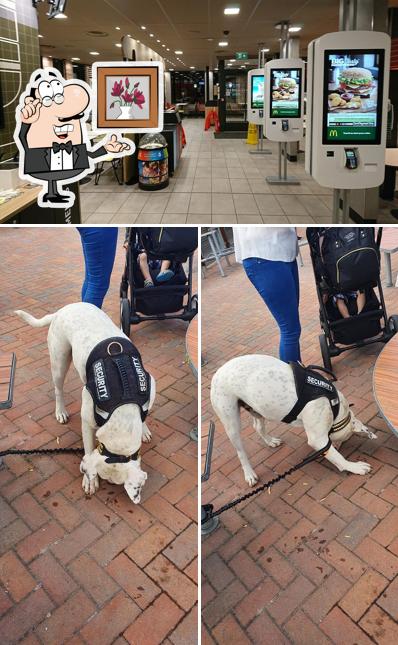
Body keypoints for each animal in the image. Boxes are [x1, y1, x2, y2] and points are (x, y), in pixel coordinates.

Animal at [14, 304, 155, 504]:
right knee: (58, 389)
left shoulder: (151, 389)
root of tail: (61, 310)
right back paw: (60, 411)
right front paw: (90, 481)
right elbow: (88, 450)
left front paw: (144, 429)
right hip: (59, 361)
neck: (123, 406)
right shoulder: (87, 421)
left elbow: (144, 415)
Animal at [211, 354, 376, 486]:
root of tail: (216, 374)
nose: (337, 445)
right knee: (240, 451)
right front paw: (354, 467)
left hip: (257, 408)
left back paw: (270, 441)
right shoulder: (317, 438)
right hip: (231, 423)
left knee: (258, 426)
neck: (334, 405)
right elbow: (338, 458)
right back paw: (249, 474)